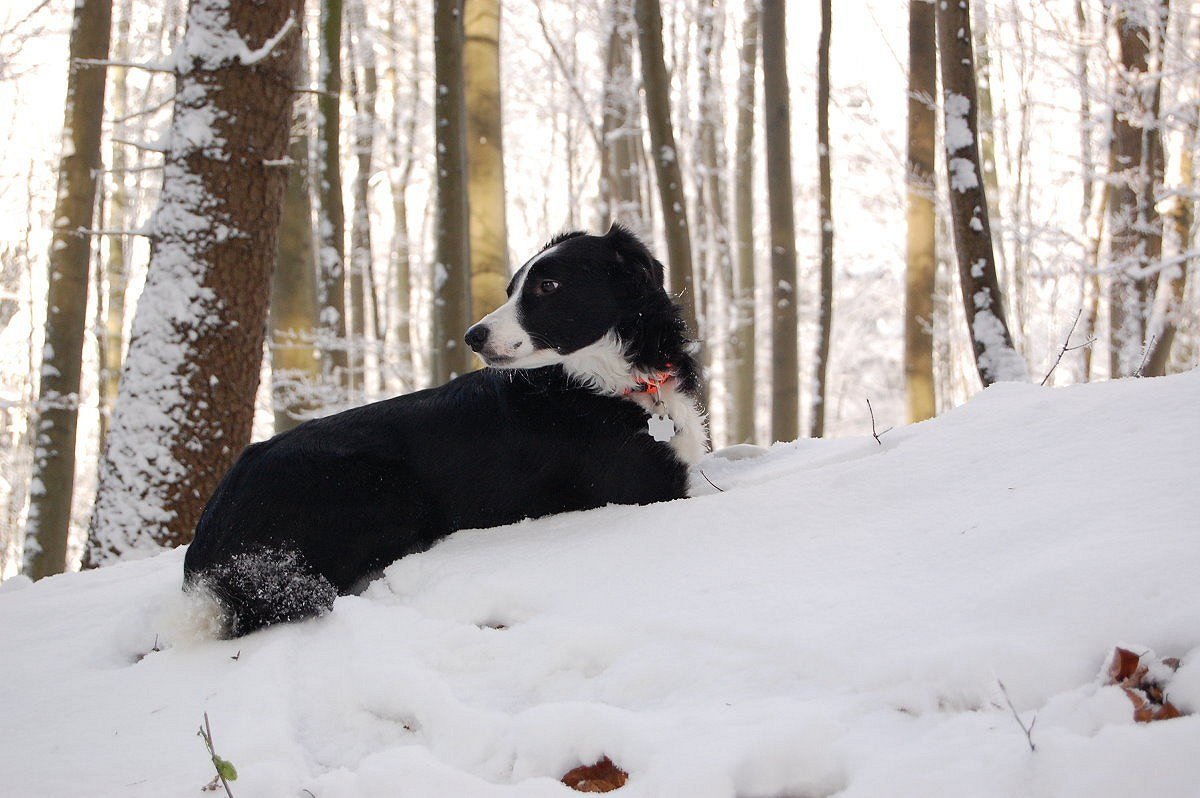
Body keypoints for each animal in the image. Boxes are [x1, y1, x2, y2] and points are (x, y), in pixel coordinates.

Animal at [177, 224, 700, 633]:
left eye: (548, 285)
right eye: (513, 289)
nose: (473, 337)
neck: (602, 380)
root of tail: (206, 556)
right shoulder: (649, 488)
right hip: (389, 492)